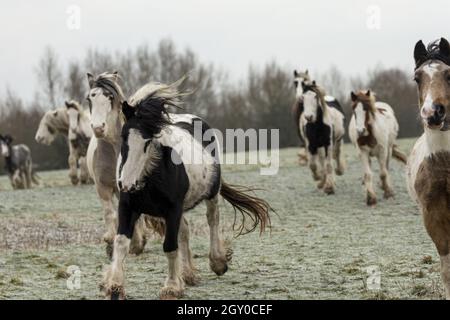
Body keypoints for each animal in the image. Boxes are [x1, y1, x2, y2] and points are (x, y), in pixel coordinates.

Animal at [102, 77, 270, 300]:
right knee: (185, 230)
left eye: (148, 140)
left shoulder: (172, 209)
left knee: (212, 220)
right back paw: (188, 274)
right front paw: (114, 286)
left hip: (211, 194)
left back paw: (217, 262)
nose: (127, 183)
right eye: (123, 137)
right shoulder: (128, 207)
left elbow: (170, 246)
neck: (151, 176)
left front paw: (172, 287)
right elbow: (121, 243)